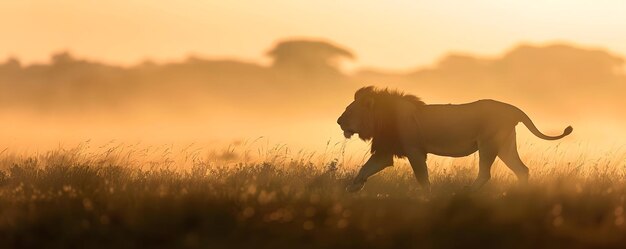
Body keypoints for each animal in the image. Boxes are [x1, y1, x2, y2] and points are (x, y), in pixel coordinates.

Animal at [336, 86, 572, 193]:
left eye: (349, 111)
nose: (338, 121)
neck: (381, 118)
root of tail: (513, 110)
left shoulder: (414, 150)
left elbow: (422, 178)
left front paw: (428, 197)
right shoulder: (385, 151)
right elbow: (364, 169)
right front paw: (352, 188)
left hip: (488, 145)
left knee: (485, 174)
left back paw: (465, 193)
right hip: (505, 145)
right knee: (522, 170)